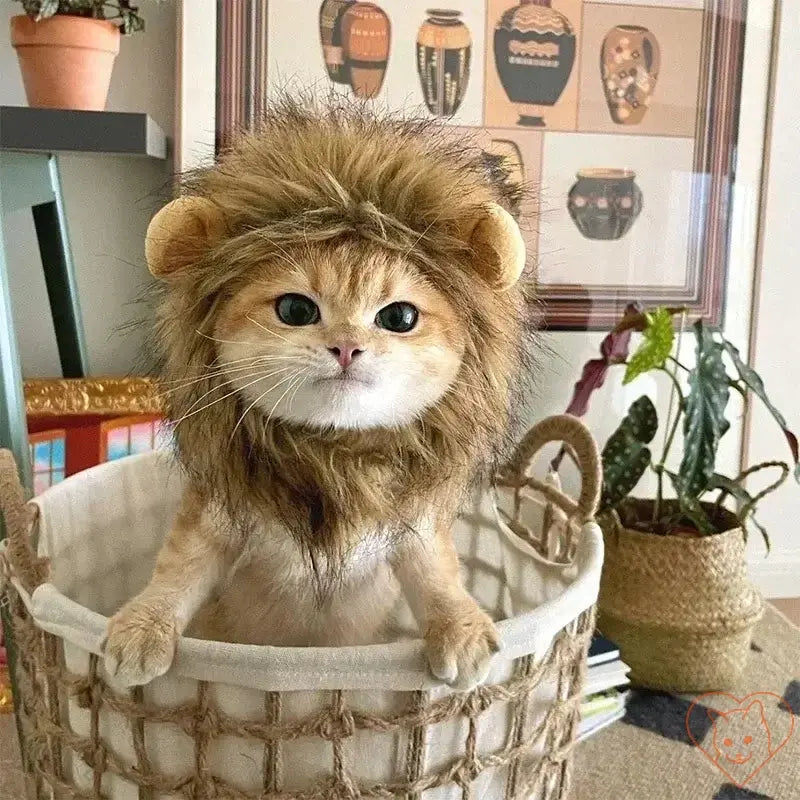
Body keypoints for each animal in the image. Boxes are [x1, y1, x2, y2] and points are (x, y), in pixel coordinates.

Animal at [104, 98, 532, 688]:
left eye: (399, 317)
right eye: (295, 309)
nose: (347, 347)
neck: (332, 459)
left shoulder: (413, 530)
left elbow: (440, 579)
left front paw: (462, 631)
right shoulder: (215, 518)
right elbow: (177, 572)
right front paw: (143, 626)